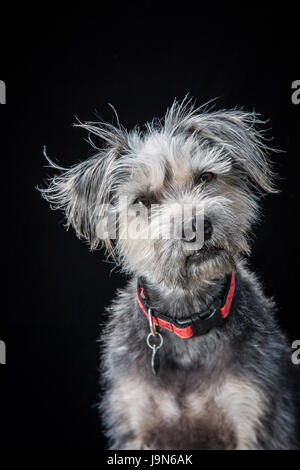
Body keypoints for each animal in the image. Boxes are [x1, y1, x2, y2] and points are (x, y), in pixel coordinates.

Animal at [41, 100, 298, 452]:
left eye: (205, 177)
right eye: (143, 201)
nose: (197, 225)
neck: (188, 319)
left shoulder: (255, 415)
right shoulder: (135, 421)